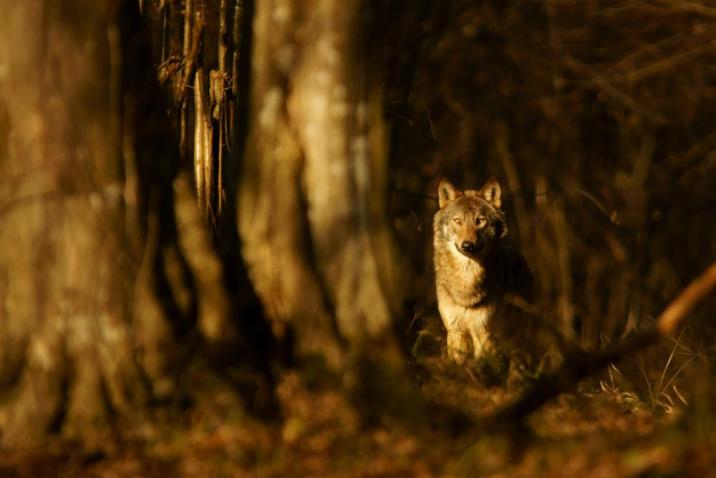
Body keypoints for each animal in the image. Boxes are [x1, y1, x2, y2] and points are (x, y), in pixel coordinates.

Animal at [434, 176, 536, 366]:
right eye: (457, 220)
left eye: (480, 220)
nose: (467, 245)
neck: (466, 282)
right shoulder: (456, 331)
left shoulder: (484, 331)